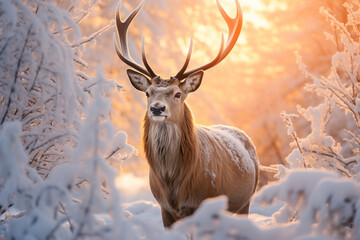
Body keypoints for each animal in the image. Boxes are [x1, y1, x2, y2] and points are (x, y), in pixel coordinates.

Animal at [115, 0, 258, 227]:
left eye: (178, 93)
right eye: (147, 93)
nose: (157, 108)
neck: (173, 186)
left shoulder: (202, 205)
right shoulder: (164, 209)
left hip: (246, 201)